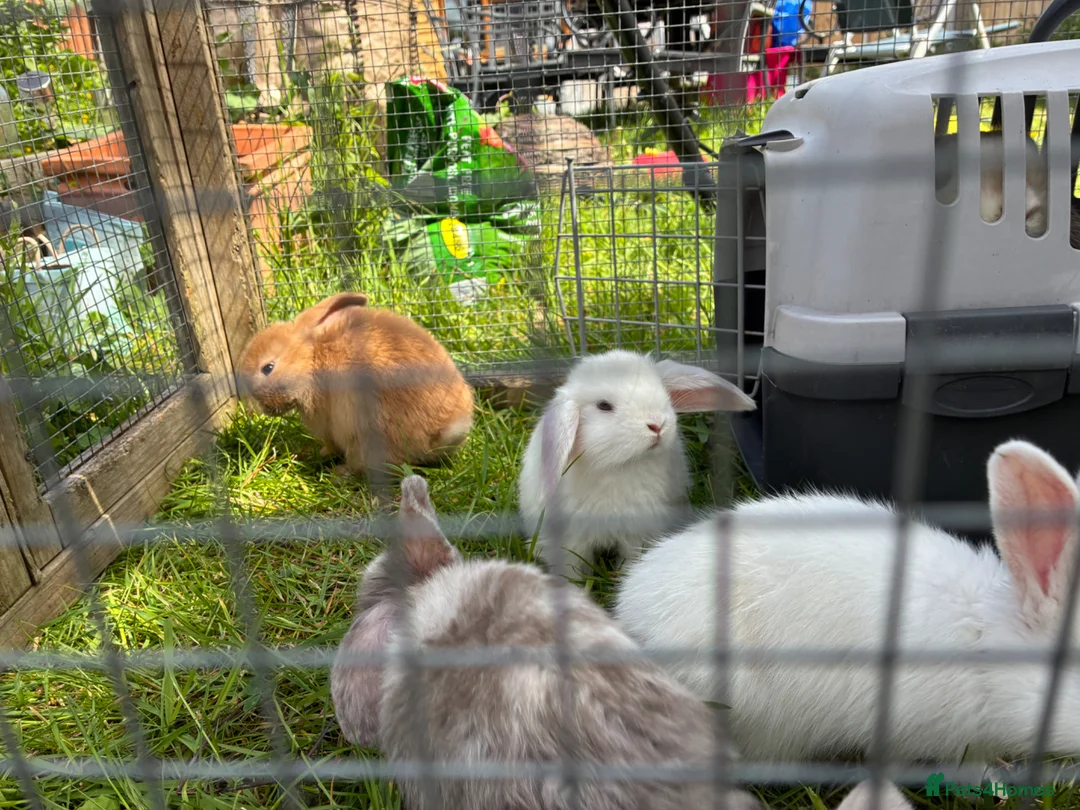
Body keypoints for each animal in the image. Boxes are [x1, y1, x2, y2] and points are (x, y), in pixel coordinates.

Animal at [237, 292, 475, 474]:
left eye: (268, 368)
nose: (264, 409)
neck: (311, 359)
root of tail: (445, 432)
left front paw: (322, 453)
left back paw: (339, 473)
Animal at [517, 349, 756, 575]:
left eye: (662, 392)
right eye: (604, 405)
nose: (657, 425)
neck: (618, 466)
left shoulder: (637, 533)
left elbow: (631, 558)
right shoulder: (571, 539)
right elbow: (572, 568)